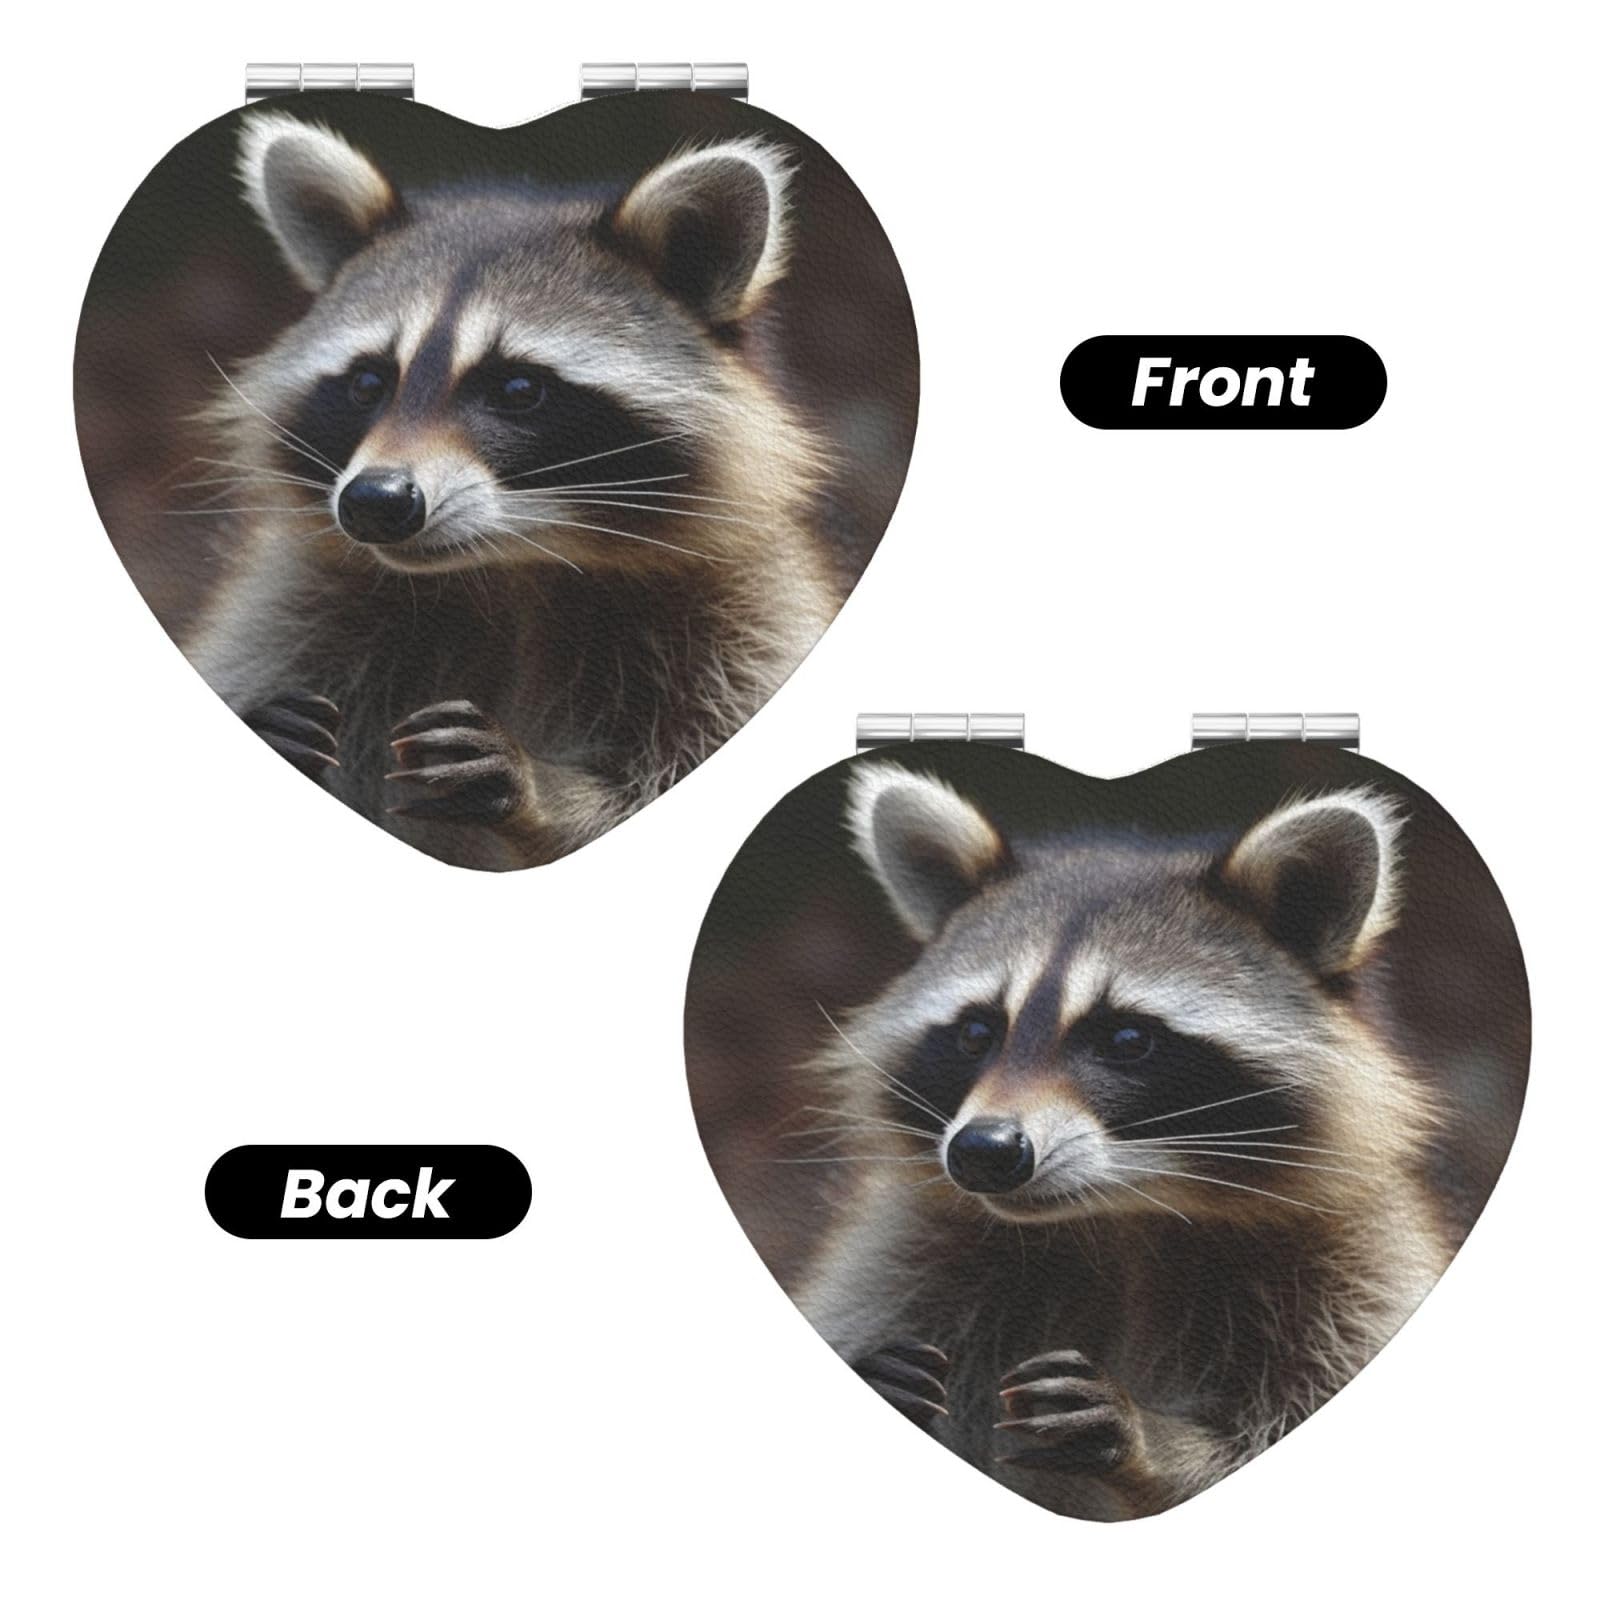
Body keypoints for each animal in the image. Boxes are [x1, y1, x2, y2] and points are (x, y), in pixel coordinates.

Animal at [186, 113, 834, 868]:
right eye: (369, 382)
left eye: (519, 389)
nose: (375, 502)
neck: (507, 572)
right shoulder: (296, 610)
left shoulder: (746, 627)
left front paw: (546, 795)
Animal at [795, 764, 1451, 1520]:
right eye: (976, 1032)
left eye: (1128, 1039)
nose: (983, 1151)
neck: (1119, 1221)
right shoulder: (907, 1258)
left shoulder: (1355, 1273)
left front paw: (1156, 1445)